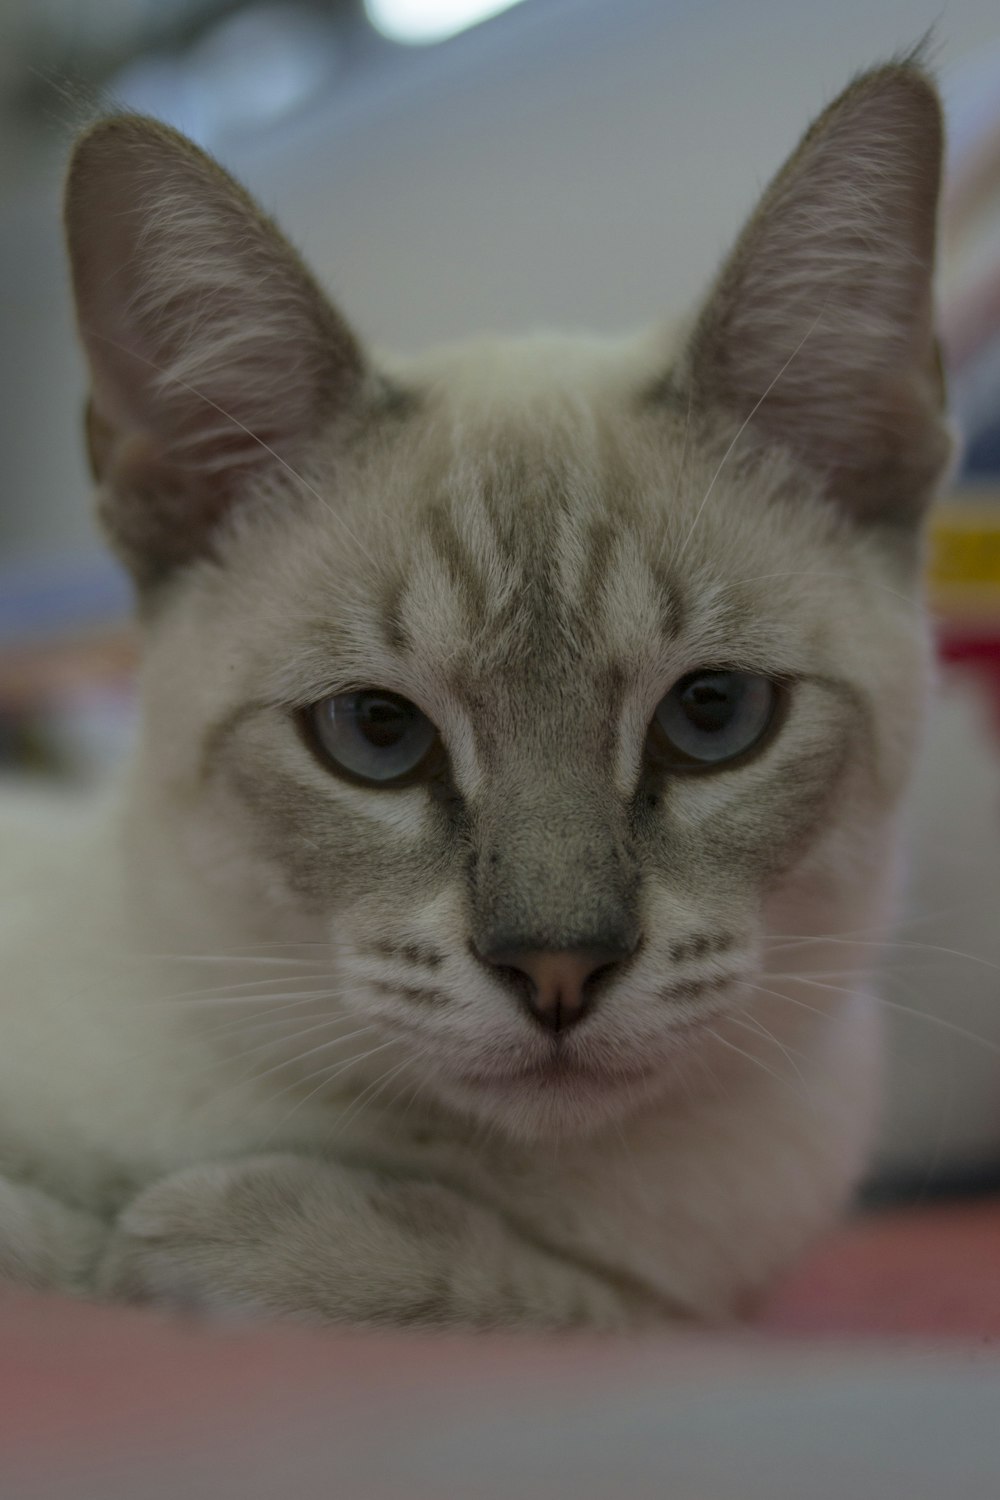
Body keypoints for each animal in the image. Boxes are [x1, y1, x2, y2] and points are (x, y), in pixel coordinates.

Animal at [0, 58, 953, 1326]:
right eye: (375, 733)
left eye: (713, 716)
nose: (557, 969)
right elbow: (52, 1241)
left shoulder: (690, 1295)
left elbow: (552, 1295)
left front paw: (228, 1239)